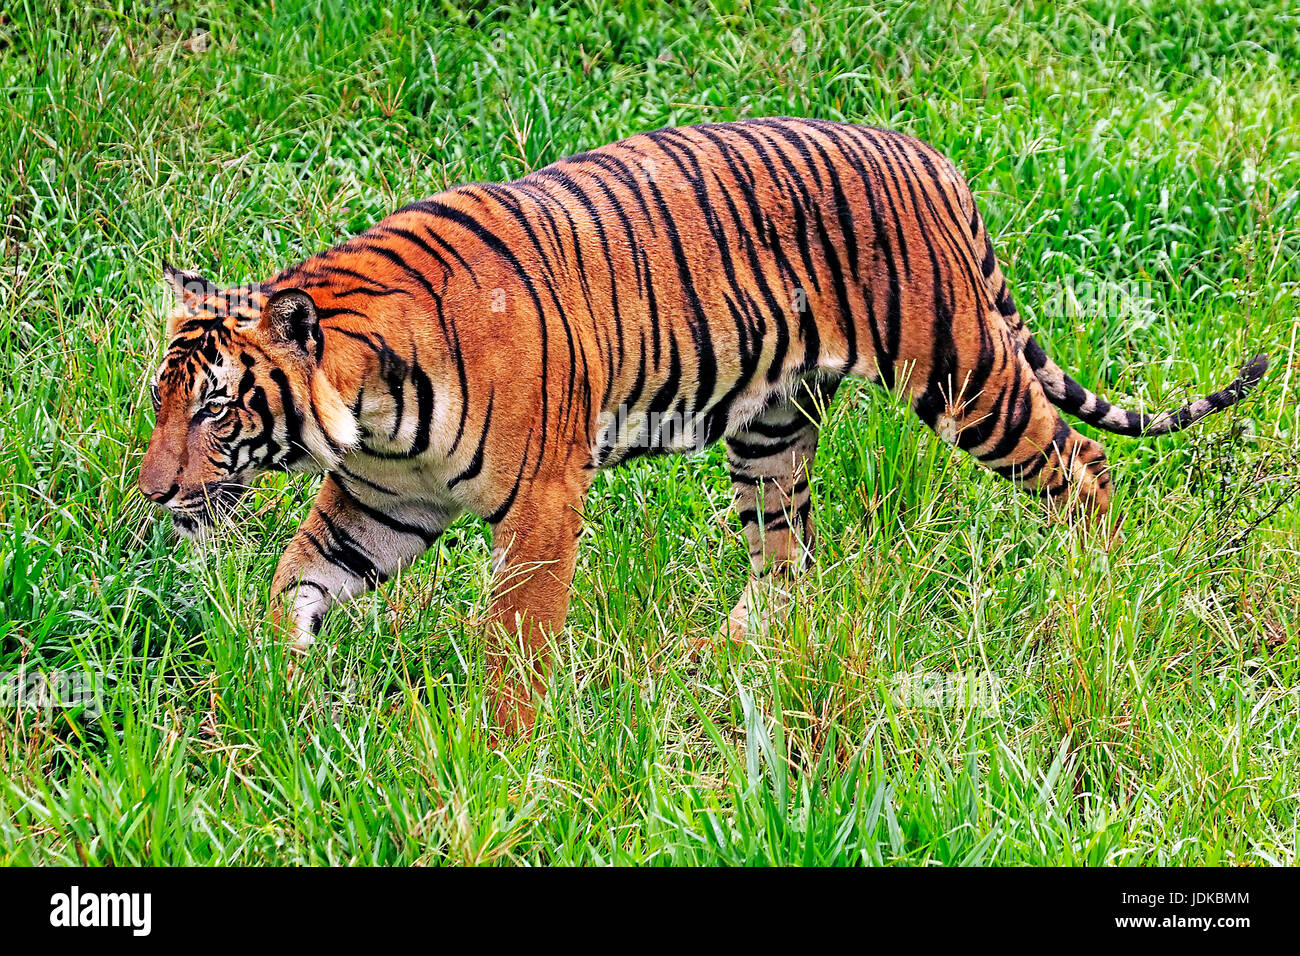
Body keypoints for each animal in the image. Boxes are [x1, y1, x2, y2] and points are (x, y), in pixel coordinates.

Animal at [142, 119, 1268, 733]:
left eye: (214, 406)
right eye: (159, 402)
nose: (152, 494)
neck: (371, 406)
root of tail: (927, 154)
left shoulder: (542, 501)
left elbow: (513, 639)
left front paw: (500, 750)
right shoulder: (381, 503)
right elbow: (295, 578)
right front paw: (272, 683)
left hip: (960, 372)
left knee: (1081, 464)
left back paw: (1093, 595)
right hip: (772, 429)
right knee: (786, 559)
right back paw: (713, 657)